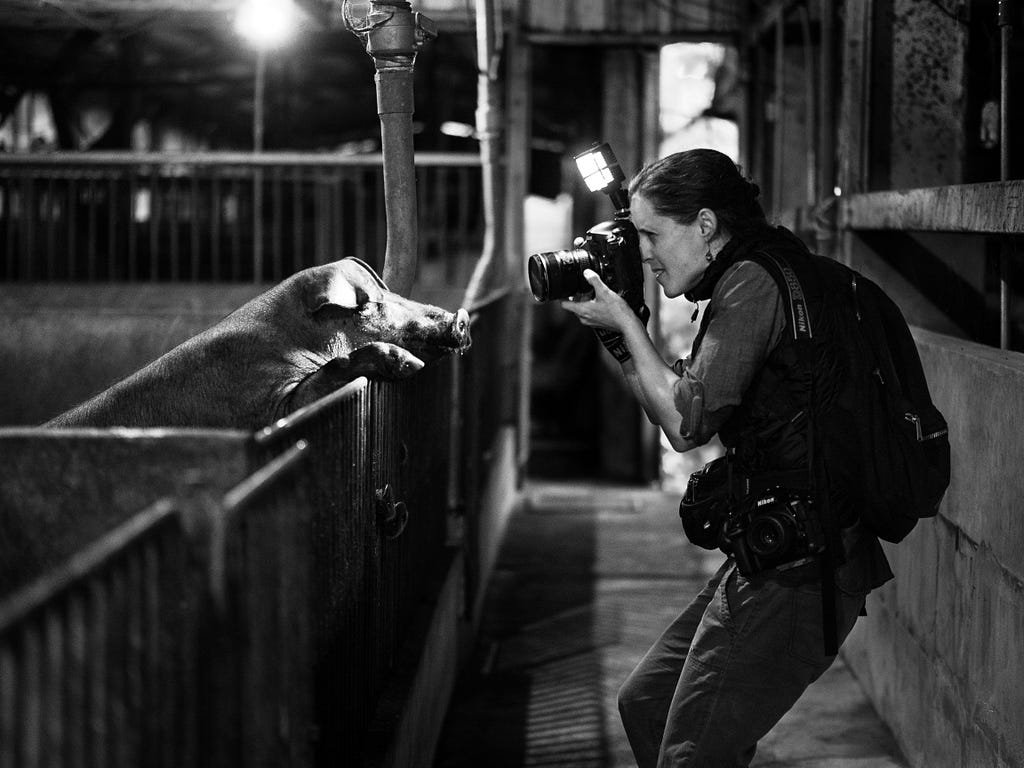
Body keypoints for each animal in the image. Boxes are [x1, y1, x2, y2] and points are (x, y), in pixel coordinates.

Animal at [47, 256, 471, 430]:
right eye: (368, 305)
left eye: (390, 292)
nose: (461, 319)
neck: (293, 340)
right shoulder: (268, 402)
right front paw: (406, 363)